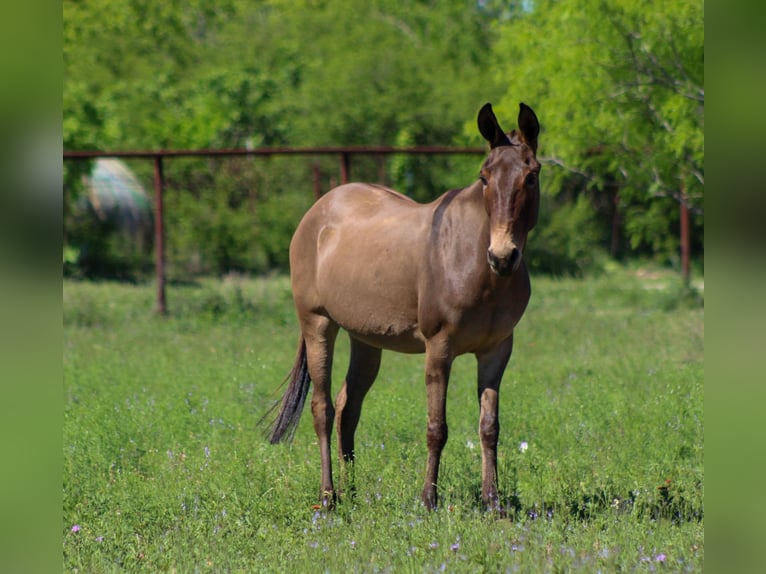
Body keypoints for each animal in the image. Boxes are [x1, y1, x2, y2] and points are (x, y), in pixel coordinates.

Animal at [266, 102, 541, 511]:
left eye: (531, 176)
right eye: (484, 177)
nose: (503, 257)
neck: (474, 262)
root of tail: (317, 211)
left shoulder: (497, 350)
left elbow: (489, 427)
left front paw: (493, 501)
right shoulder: (439, 348)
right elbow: (436, 427)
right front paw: (428, 499)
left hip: (365, 340)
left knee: (348, 408)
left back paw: (351, 492)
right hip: (318, 325)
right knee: (323, 408)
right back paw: (328, 497)